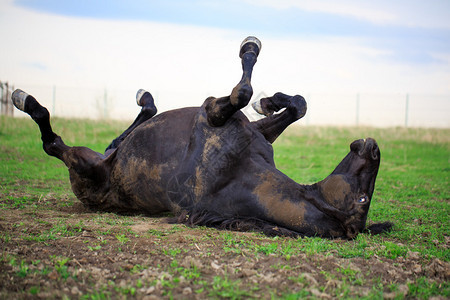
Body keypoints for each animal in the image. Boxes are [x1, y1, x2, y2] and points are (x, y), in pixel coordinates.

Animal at [10, 37, 390, 239]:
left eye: (362, 201)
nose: (373, 148)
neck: (239, 172)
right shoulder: (252, 131)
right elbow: (297, 105)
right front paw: (270, 101)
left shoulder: (213, 112)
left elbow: (242, 91)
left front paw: (250, 49)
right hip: (102, 154)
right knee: (120, 137)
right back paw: (145, 100)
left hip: (83, 165)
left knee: (53, 143)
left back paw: (25, 100)